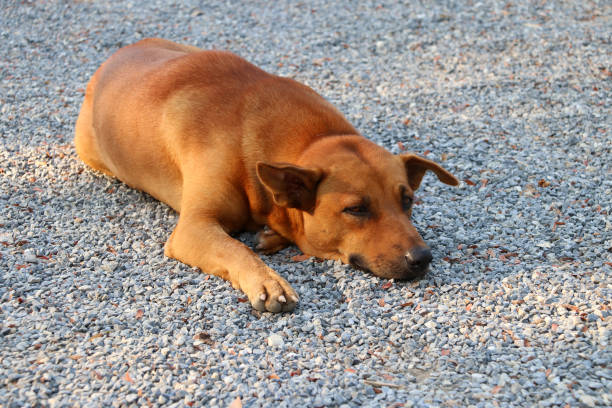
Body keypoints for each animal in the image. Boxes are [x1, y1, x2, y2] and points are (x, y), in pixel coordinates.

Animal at [75, 38, 460, 312]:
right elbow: (236, 249)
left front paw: (272, 236)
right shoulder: (193, 228)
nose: (422, 258)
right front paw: (266, 281)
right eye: (356, 209)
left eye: (407, 200)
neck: (309, 139)